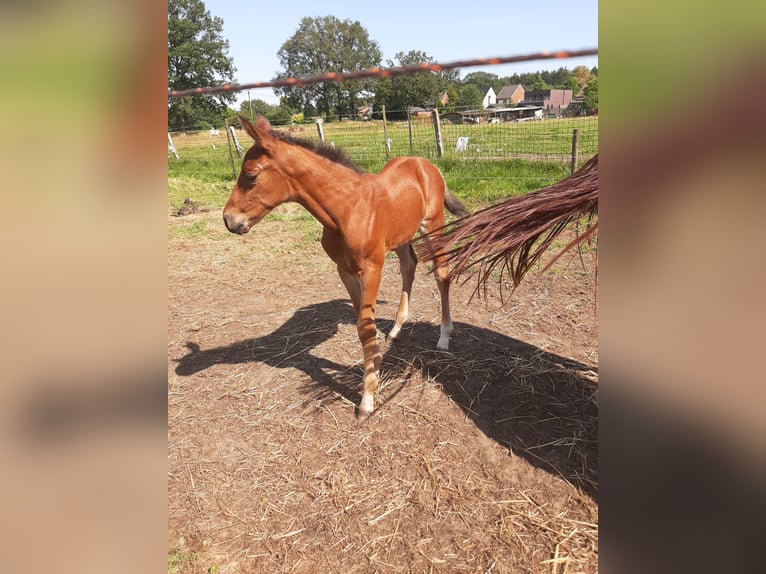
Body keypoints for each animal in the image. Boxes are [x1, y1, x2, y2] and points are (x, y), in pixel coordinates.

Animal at [224, 116, 468, 424]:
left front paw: (367, 400)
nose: (229, 220)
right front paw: (375, 367)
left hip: (433, 224)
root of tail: (425, 164)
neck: (347, 209)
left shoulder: (372, 268)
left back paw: (445, 336)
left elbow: (366, 327)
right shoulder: (345, 270)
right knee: (409, 266)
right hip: (402, 235)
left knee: (441, 272)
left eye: (251, 176)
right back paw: (396, 328)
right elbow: (362, 327)